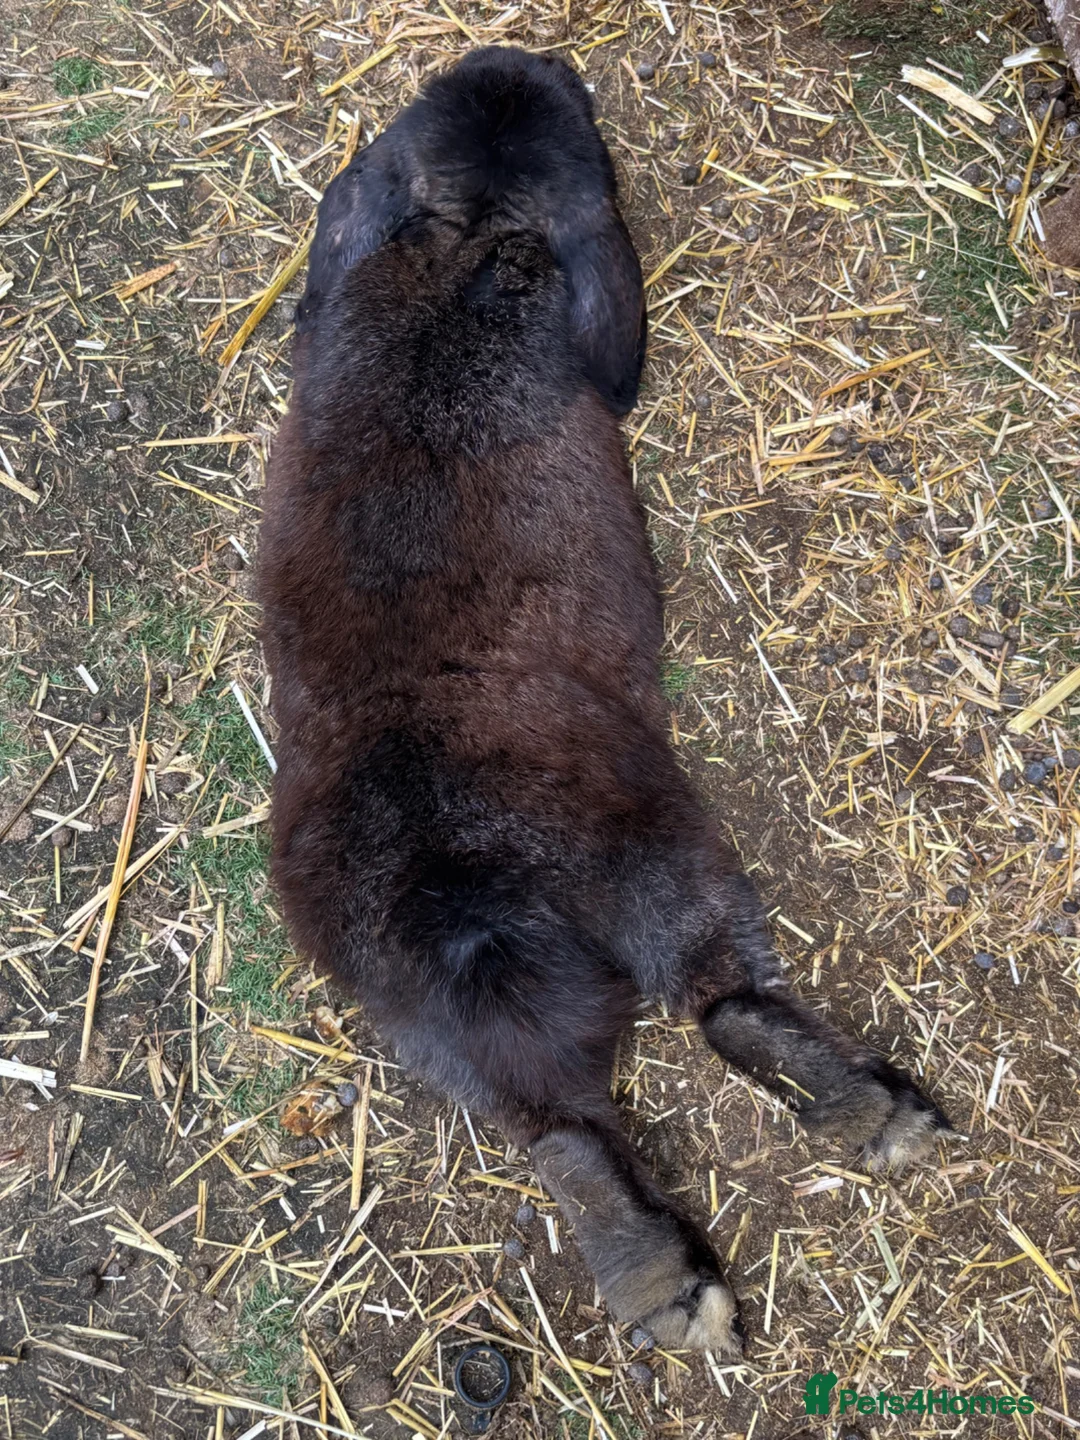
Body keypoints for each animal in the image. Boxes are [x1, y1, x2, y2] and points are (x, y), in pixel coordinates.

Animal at [260, 45, 952, 1356]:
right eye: (576, 133)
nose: (532, 61)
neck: (468, 237)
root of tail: (461, 876)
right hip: (652, 849)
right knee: (719, 998)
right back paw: (874, 1123)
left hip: (422, 1008)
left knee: (560, 1129)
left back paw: (657, 1285)